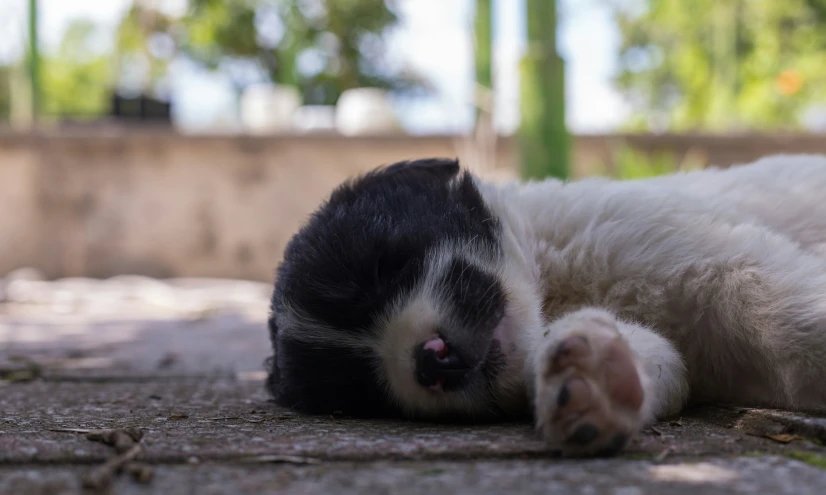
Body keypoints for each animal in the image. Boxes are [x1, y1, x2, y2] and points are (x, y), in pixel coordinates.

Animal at [264, 155, 824, 458]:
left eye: (389, 266)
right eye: (361, 388)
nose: (430, 360)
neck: (547, 278)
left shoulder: (711, 258)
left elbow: (785, 313)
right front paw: (591, 382)